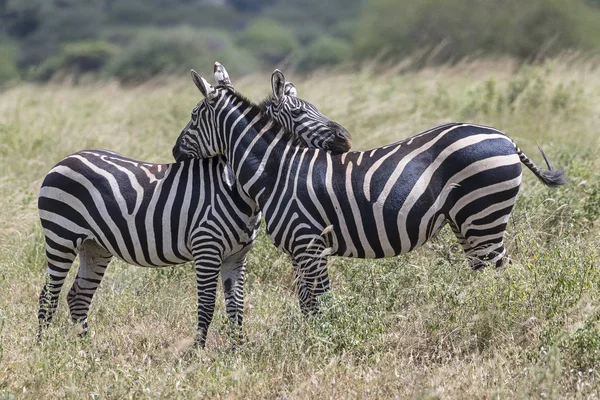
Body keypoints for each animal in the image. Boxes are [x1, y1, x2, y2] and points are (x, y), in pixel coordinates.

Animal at [37, 69, 352, 346]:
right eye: (299, 114)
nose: (346, 138)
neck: (236, 187)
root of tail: (68, 158)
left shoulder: (237, 255)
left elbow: (236, 305)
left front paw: (238, 350)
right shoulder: (206, 247)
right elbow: (208, 304)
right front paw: (198, 352)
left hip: (95, 246)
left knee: (78, 296)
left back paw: (86, 350)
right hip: (61, 237)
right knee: (48, 295)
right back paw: (44, 349)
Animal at [173, 62, 568, 314]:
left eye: (192, 117)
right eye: (300, 112)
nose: (175, 151)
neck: (278, 169)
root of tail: (506, 138)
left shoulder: (310, 245)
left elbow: (318, 304)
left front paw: (325, 342)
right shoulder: (302, 252)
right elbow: (306, 303)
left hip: (484, 215)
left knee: (503, 275)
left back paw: (497, 314)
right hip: (471, 224)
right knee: (489, 273)